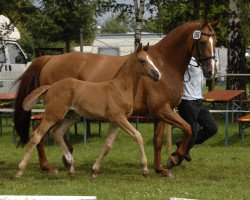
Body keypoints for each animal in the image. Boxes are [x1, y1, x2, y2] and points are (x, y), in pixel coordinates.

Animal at [15, 43, 161, 178]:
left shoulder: (115, 122)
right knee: (37, 136)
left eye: (150, 59)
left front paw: (94, 170)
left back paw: (71, 167)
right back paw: (20, 171)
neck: (120, 88)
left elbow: (108, 145)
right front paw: (145, 169)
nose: (157, 75)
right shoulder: (119, 118)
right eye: (142, 60)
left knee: (57, 132)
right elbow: (138, 136)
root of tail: (51, 87)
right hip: (53, 115)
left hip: (71, 116)